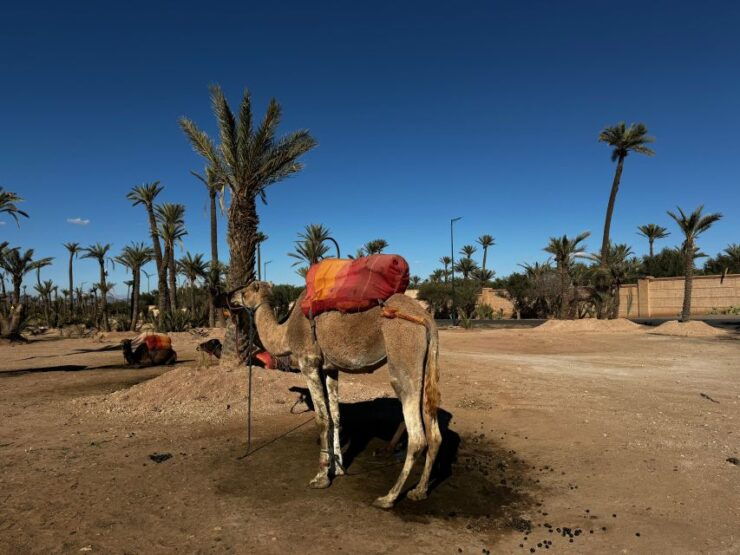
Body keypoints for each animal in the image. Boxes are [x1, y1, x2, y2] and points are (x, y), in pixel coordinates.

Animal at [229, 281, 441, 509]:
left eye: (246, 290)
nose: (230, 297)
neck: (286, 333)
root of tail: (427, 317)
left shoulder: (308, 363)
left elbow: (322, 419)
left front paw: (321, 477)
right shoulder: (331, 369)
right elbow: (336, 417)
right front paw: (337, 469)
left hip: (403, 355)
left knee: (417, 436)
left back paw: (388, 497)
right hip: (427, 363)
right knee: (434, 433)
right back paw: (419, 491)